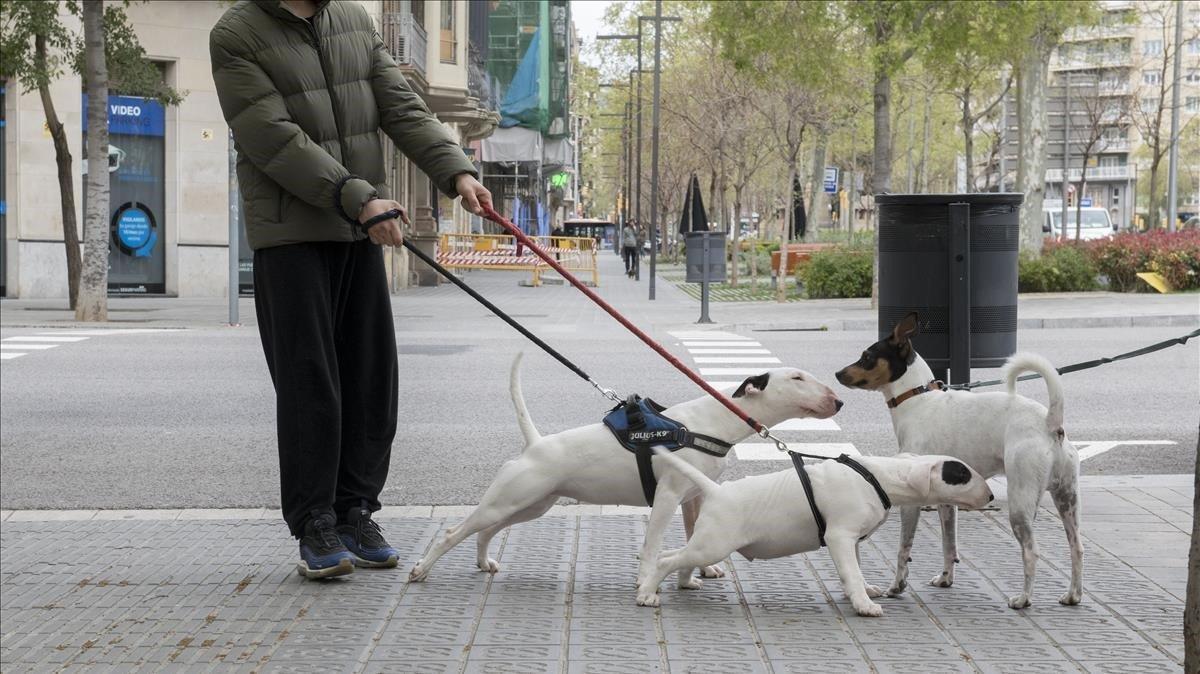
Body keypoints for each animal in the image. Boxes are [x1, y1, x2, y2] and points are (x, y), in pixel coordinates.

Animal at [408, 352, 840, 597]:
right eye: (797, 378)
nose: (838, 401)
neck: (710, 423)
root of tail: (535, 444)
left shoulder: (695, 496)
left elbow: (693, 535)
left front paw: (698, 574)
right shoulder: (667, 496)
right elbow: (652, 545)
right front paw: (646, 581)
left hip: (532, 504)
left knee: (486, 531)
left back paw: (484, 563)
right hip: (508, 498)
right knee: (454, 532)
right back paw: (421, 570)